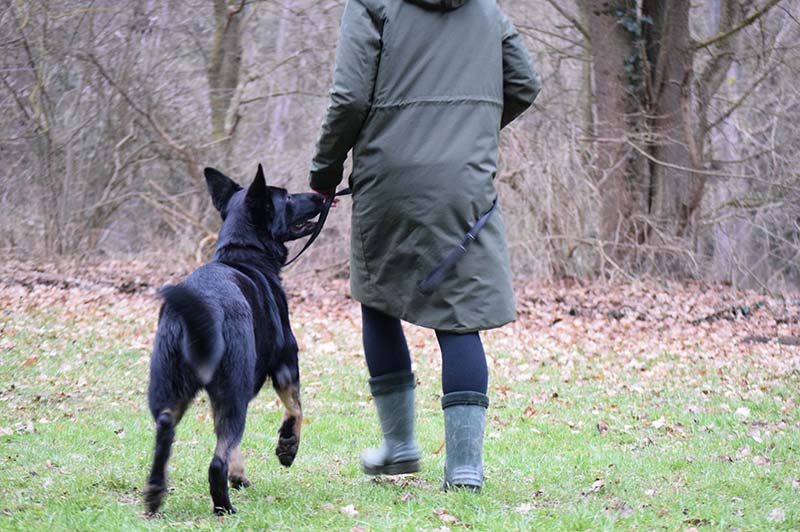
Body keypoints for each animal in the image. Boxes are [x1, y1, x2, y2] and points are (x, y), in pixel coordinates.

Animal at [144, 165, 322, 516]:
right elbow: (296, 407)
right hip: (233, 386)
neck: (243, 254)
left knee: (167, 430)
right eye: (287, 197)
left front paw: (239, 474)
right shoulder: (286, 363)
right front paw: (287, 446)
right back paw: (223, 507)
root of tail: (202, 307)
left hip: (170, 388)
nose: (320, 195)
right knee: (216, 461)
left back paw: (155, 493)